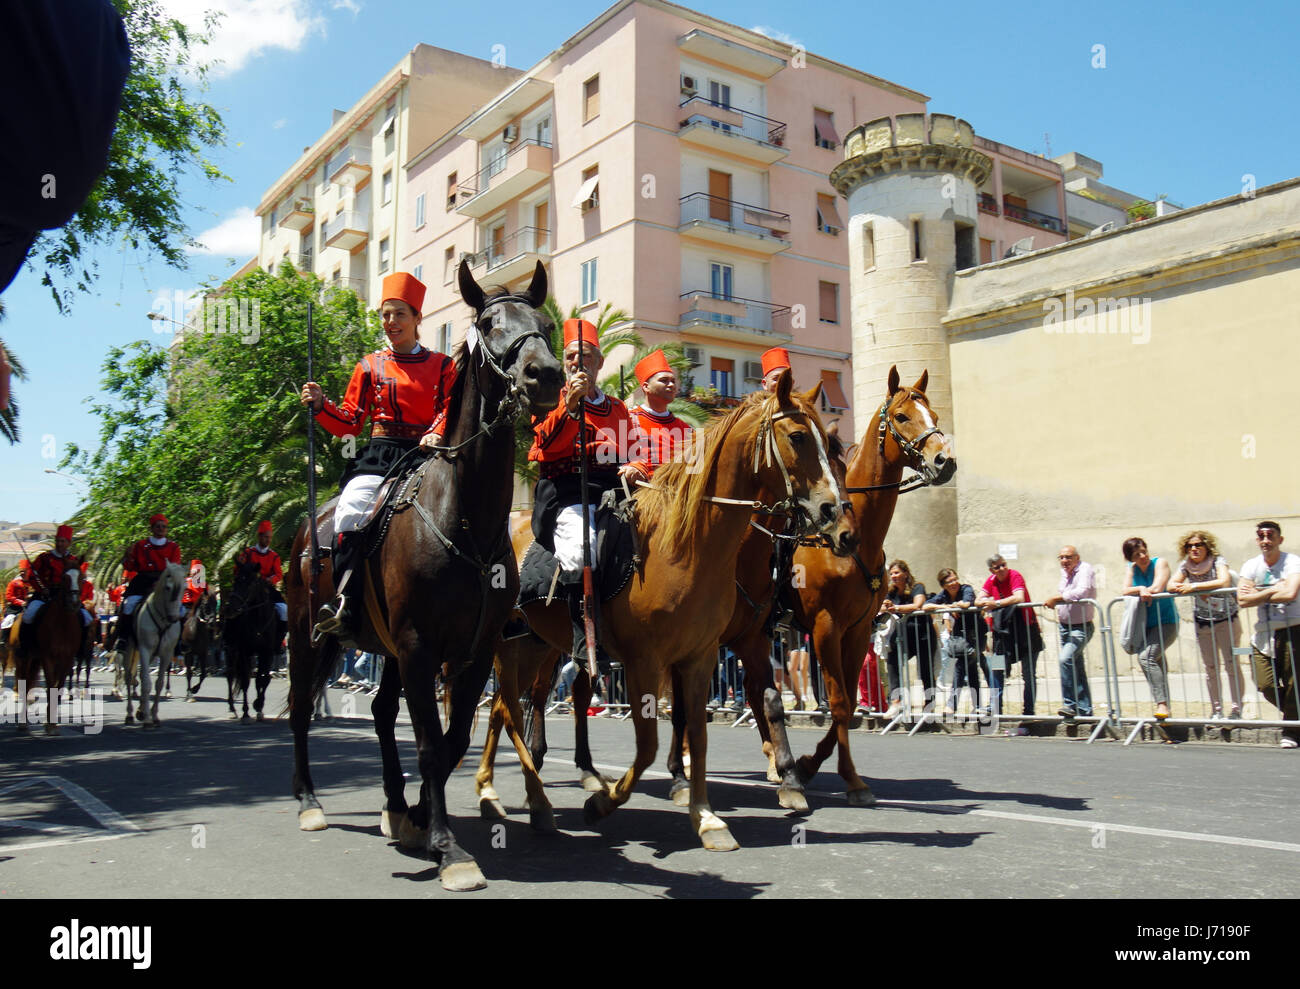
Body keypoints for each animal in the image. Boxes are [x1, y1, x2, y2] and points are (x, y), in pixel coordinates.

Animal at [124, 564, 185, 727]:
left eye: (184, 588)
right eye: (167, 587)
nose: (173, 617)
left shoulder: (166, 654)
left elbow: (159, 683)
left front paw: (154, 715)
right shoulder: (144, 650)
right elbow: (146, 683)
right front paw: (147, 719)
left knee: (138, 676)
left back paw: (140, 710)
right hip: (130, 649)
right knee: (128, 677)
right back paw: (130, 714)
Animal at [284, 258, 559, 888]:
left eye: (546, 324)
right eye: (489, 322)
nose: (547, 376)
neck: (468, 520)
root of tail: (309, 525)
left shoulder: (473, 653)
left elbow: (452, 740)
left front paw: (417, 817)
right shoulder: (418, 648)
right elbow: (432, 744)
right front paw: (449, 849)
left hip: (385, 649)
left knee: (382, 714)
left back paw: (393, 807)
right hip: (308, 639)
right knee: (300, 711)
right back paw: (309, 802)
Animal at [475, 374, 842, 852]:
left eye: (829, 443)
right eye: (798, 436)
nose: (834, 510)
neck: (686, 547)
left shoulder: (701, 656)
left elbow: (699, 734)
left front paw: (707, 817)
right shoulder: (644, 662)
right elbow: (648, 744)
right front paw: (604, 803)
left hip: (534, 644)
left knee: (504, 708)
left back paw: (498, 792)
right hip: (506, 644)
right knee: (511, 710)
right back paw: (528, 796)